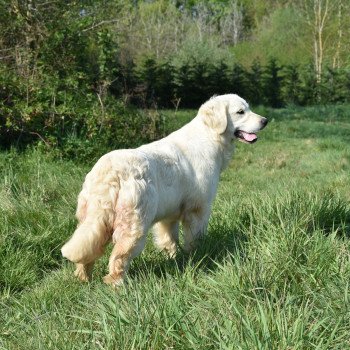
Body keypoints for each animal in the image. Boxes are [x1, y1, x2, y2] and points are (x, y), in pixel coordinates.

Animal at [60, 94, 268, 286]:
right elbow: (195, 238)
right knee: (119, 257)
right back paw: (117, 284)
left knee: (86, 251)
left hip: (92, 221)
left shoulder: (169, 217)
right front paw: (196, 255)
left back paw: (83, 279)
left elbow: (170, 240)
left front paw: (174, 258)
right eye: (240, 112)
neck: (210, 136)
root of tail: (110, 171)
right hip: (135, 224)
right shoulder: (198, 209)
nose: (265, 121)